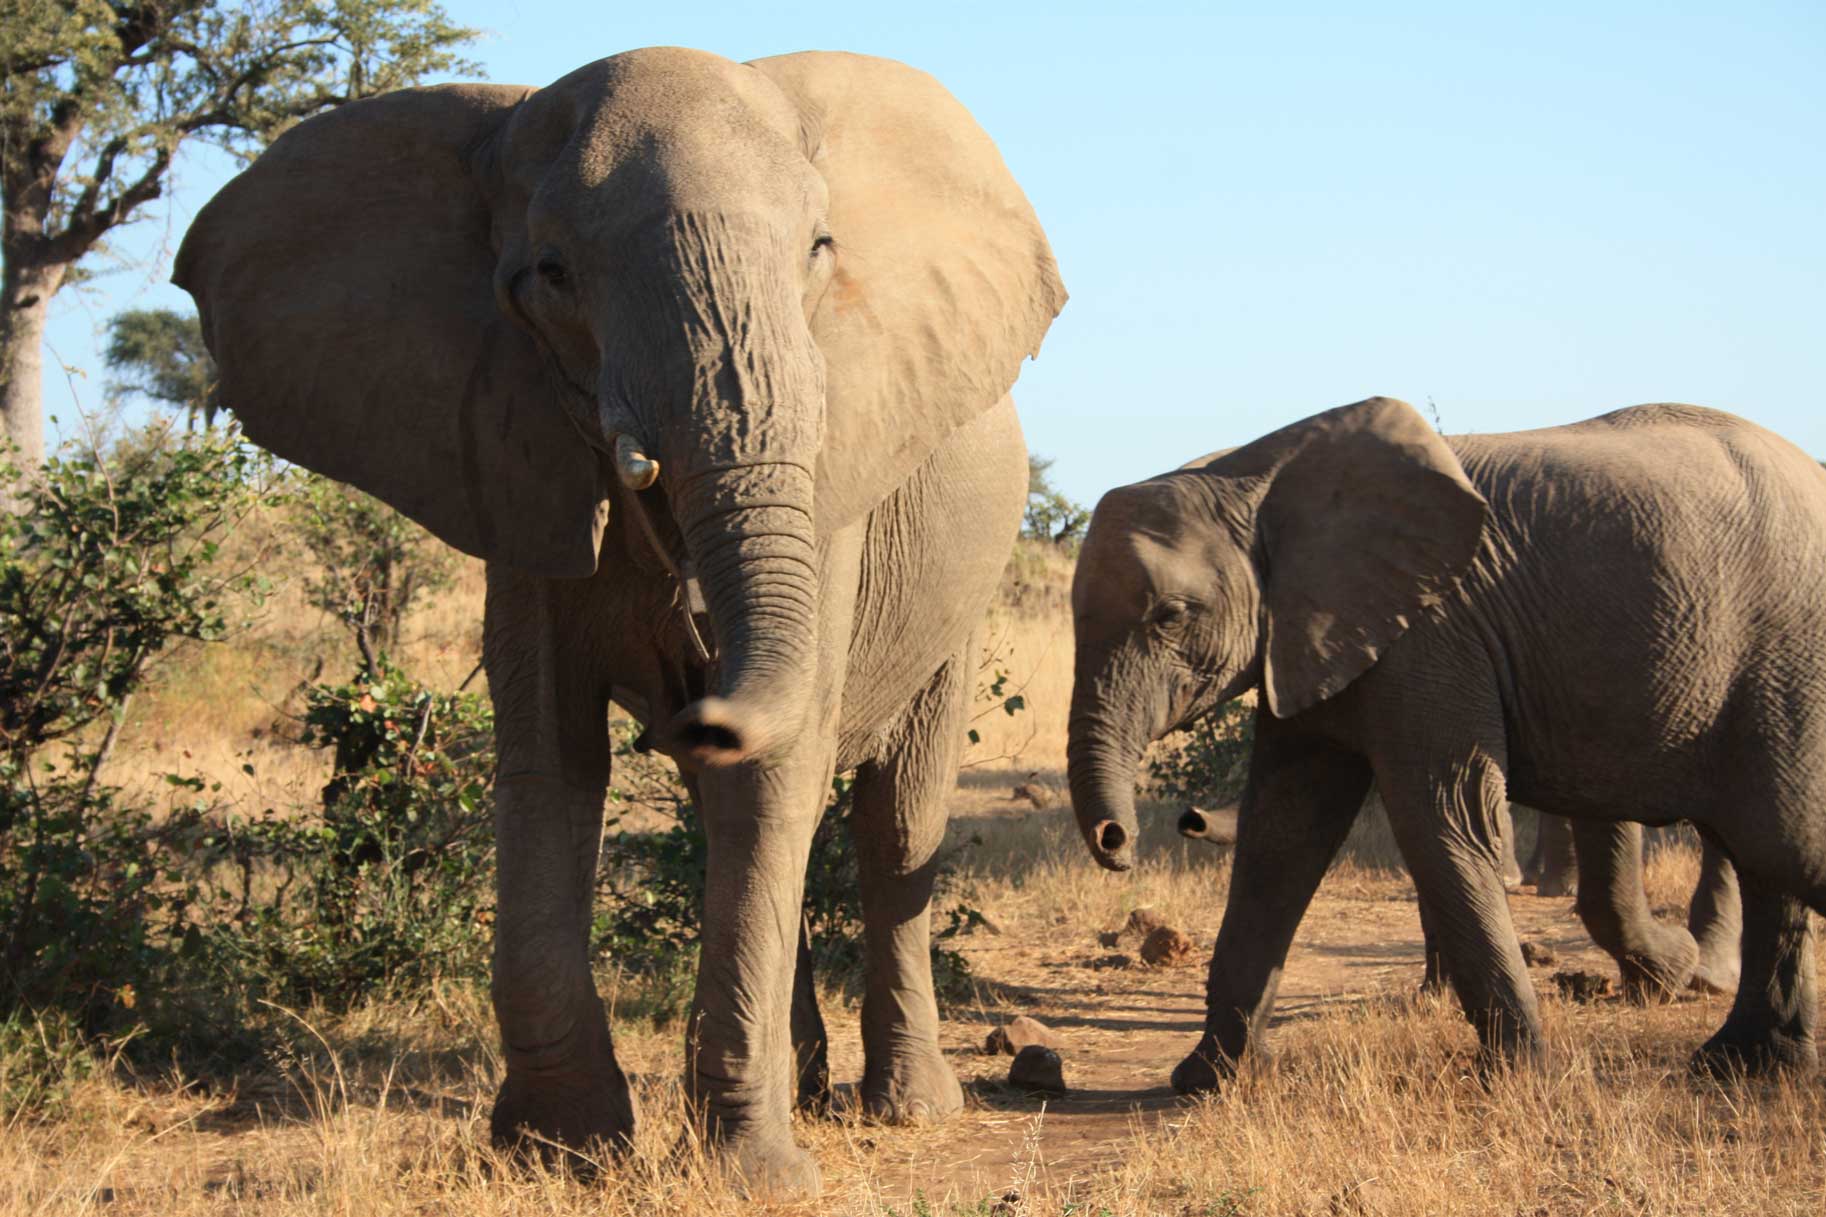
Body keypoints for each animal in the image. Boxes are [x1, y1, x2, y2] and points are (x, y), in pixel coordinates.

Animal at [178, 49, 1066, 1191]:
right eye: (551, 274)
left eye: (818, 251)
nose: (698, 696)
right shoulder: (509, 456)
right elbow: (550, 759)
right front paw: (557, 1150)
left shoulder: (834, 498)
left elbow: (775, 774)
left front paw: (751, 1177)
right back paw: (807, 1081)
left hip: (966, 585)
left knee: (891, 818)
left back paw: (905, 1107)